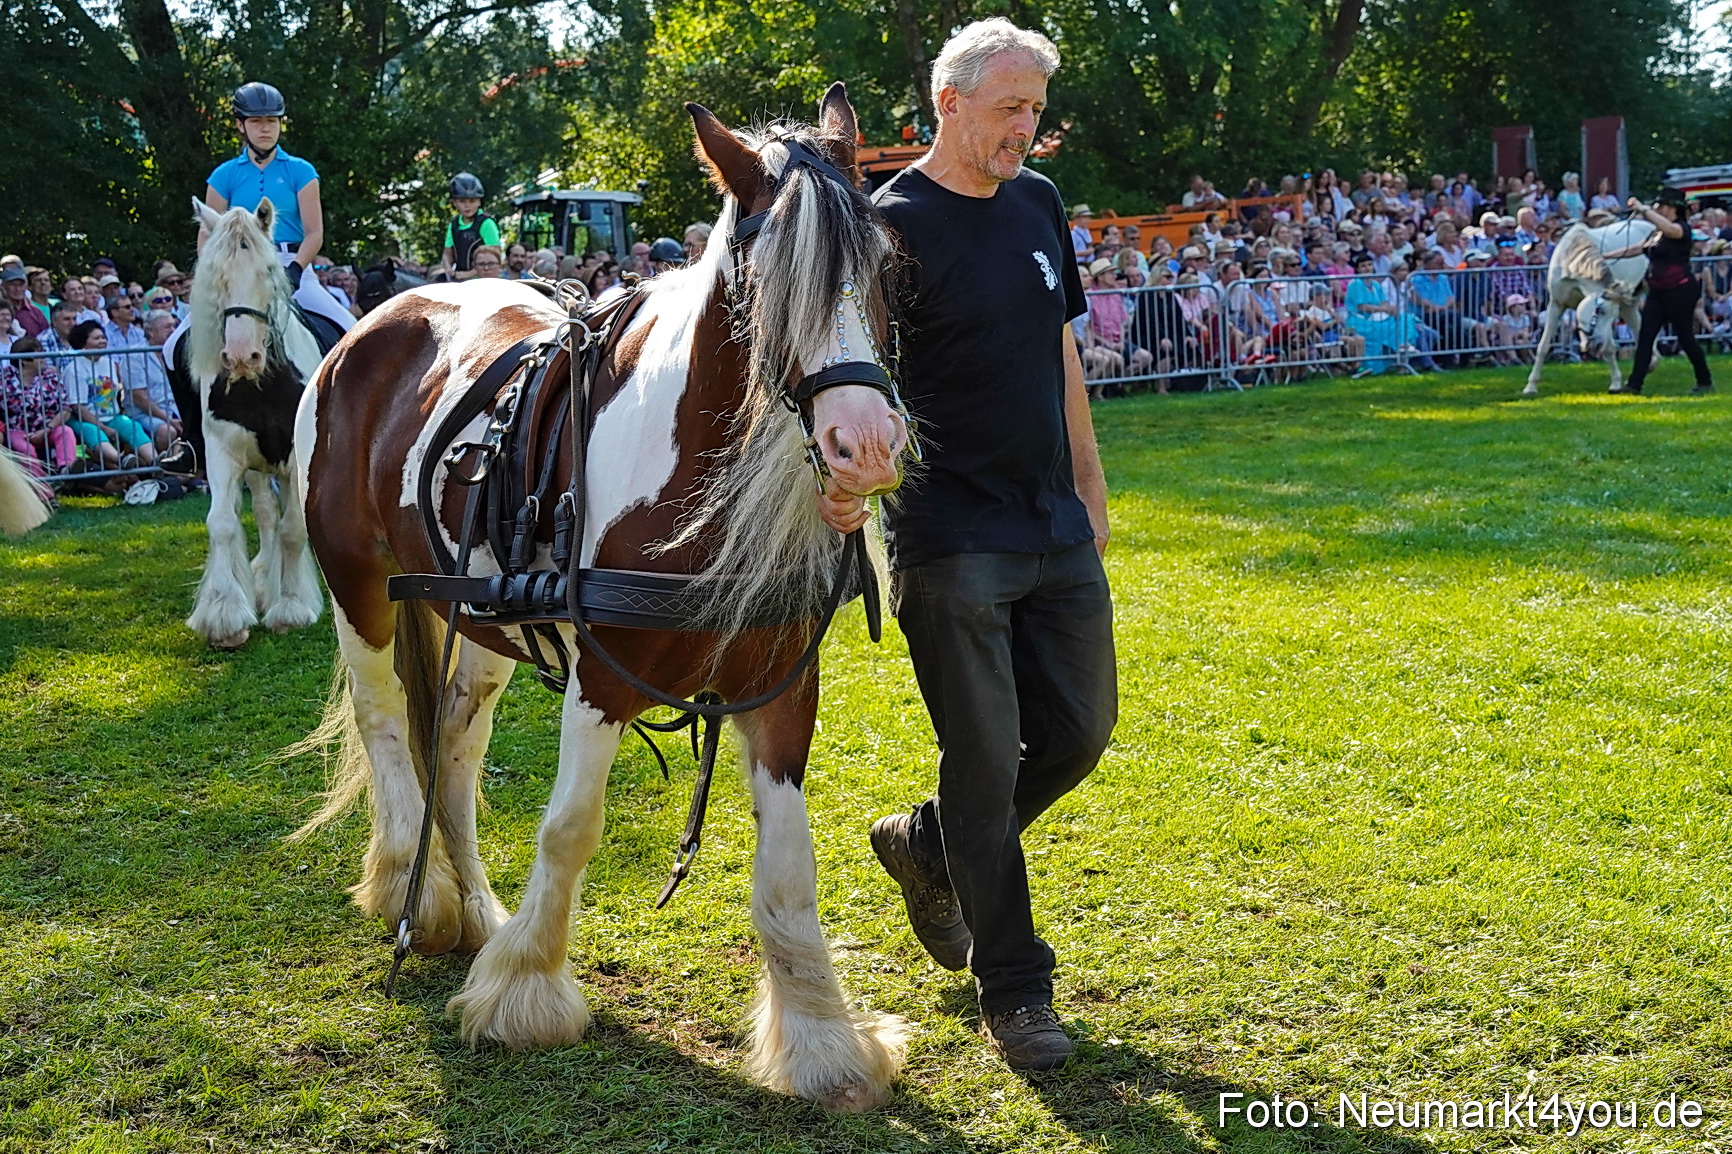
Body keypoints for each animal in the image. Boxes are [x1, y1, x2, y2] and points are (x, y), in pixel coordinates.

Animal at [184, 198, 326, 648]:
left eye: (267, 271)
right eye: (216, 277)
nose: (242, 356)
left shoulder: (297, 459)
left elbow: (294, 529)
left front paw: (292, 607)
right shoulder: (223, 453)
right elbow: (222, 524)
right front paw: (224, 616)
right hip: (256, 466)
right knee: (263, 512)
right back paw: (263, 579)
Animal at [289, 86, 917, 1110]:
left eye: (883, 267)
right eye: (765, 282)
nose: (865, 442)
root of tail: (374, 321)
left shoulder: (781, 684)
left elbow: (789, 869)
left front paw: (823, 1040)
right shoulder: (604, 679)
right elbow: (571, 827)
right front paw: (525, 989)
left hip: (478, 618)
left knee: (452, 746)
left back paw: (477, 907)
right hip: (358, 586)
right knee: (387, 727)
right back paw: (417, 897)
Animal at [1524, 218, 1654, 396]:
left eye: (1613, 316)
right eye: (1600, 310)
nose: (1595, 346)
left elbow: (1608, 348)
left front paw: (1615, 383)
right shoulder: (1556, 305)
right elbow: (1543, 346)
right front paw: (1531, 386)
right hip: (1629, 305)